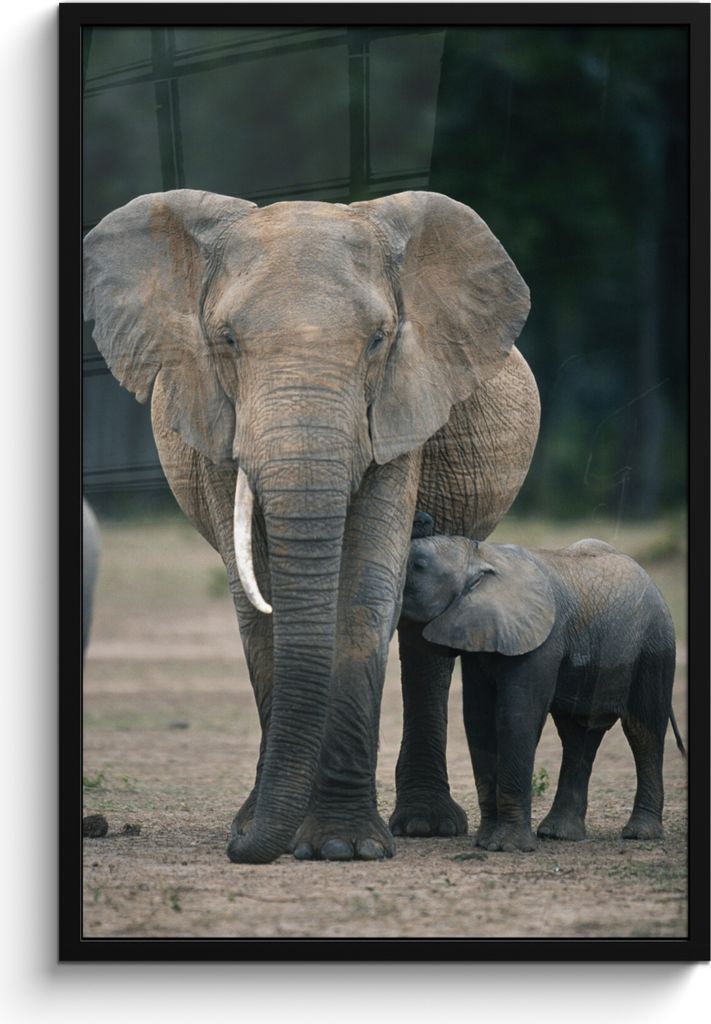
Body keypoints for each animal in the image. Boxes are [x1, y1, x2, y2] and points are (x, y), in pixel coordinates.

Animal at [83, 188, 540, 864]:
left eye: (379, 340)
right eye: (225, 340)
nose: (238, 845)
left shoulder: (401, 405)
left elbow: (363, 595)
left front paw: (342, 847)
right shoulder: (214, 419)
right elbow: (256, 606)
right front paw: (268, 829)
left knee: (428, 639)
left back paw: (425, 825)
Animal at [401, 534, 685, 852]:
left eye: (418, 565)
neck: (483, 555)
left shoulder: (541, 642)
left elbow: (516, 718)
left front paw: (508, 847)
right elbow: (478, 721)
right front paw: (486, 843)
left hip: (654, 647)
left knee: (643, 731)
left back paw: (639, 833)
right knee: (579, 734)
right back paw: (558, 834)